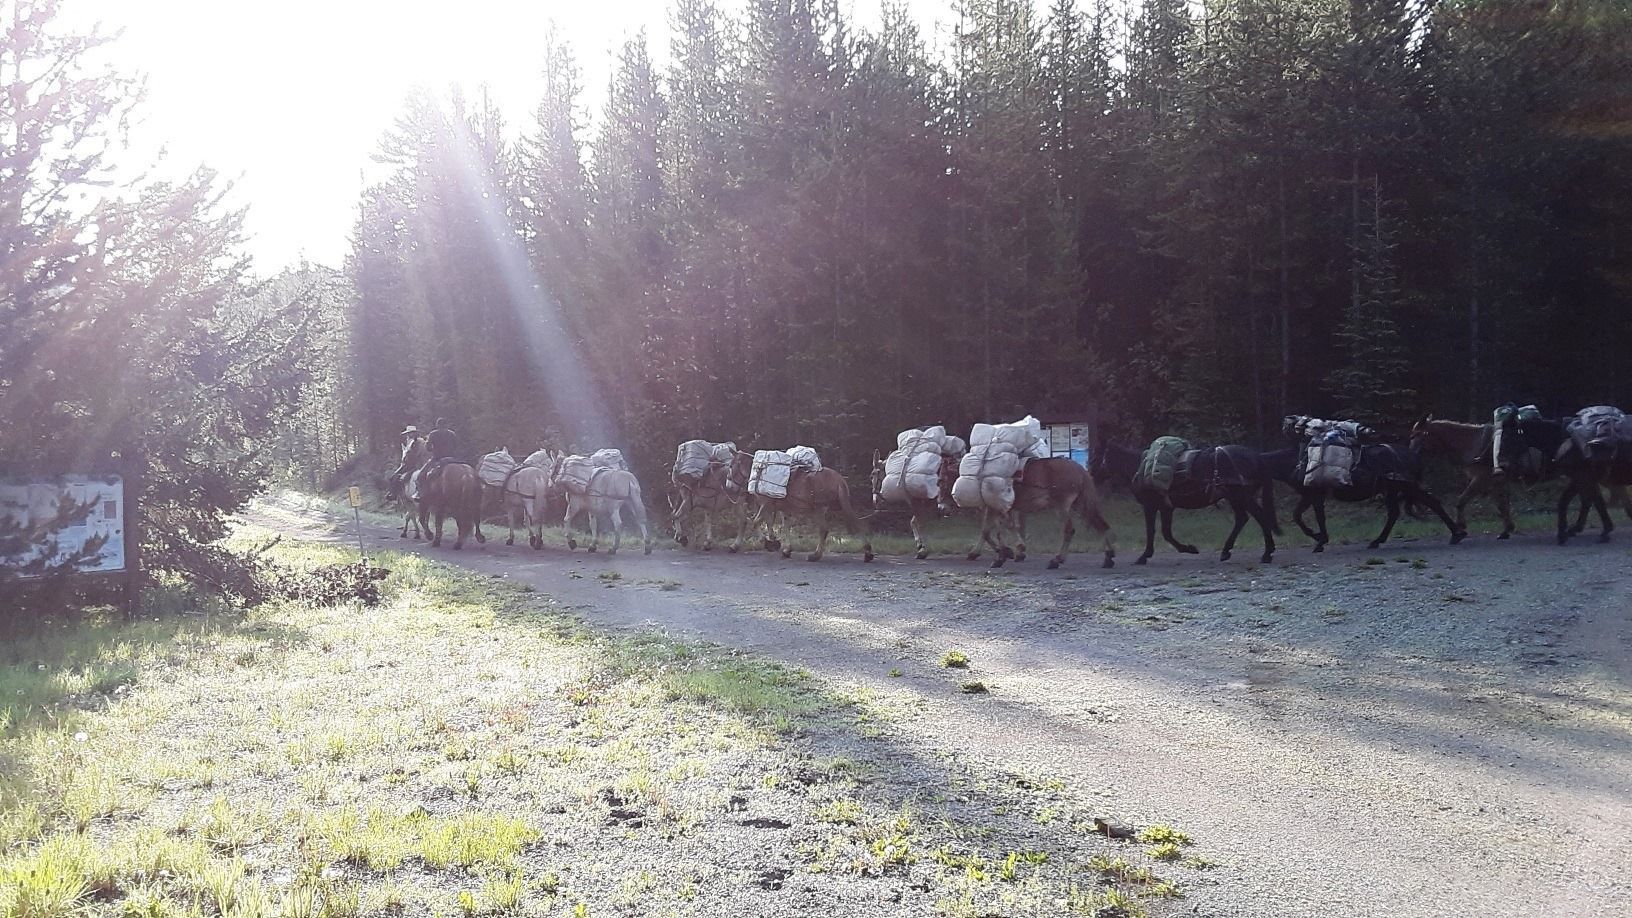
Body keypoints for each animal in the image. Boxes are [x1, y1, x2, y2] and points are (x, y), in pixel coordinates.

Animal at [729, 453, 874, 562]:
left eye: (731, 466)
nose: (729, 487)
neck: (760, 470)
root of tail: (839, 479)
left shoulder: (766, 505)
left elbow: (756, 522)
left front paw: (768, 543)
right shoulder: (782, 509)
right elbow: (784, 526)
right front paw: (785, 549)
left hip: (819, 509)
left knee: (824, 530)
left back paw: (815, 555)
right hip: (841, 505)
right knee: (856, 523)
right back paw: (868, 553)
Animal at [966, 457, 1115, 570]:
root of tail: (1080, 470)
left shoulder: (996, 508)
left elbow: (998, 530)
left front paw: (1007, 553)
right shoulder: (999, 509)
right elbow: (988, 530)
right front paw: (994, 554)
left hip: (1061, 507)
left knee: (1069, 530)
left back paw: (1056, 560)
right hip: (1080, 504)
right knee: (1099, 525)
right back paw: (1108, 557)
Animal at [1091, 442, 1279, 564]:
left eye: (1103, 458)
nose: (1093, 476)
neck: (1141, 468)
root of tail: (1256, 456)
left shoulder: (1152, 506)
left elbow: (1155, 532)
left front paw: (1145, 556)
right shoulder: (1166, 507)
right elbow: (1166, 532)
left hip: (1242, 496)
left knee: (1259, 517)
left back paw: (1266, 553)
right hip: (1236, 498)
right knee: (1242, 519)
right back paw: (1227, 552)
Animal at [1260, 446, 1464, 551]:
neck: (1298, 463)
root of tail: (1412, 455)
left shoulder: (1315, 495)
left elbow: (1315, 517)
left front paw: (1320, 540)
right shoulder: (1309, 496)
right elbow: (1298, 516)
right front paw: (1318, 537)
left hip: (1405, 487)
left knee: (1432, 503)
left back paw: (1457, 534)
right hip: (1394, 490)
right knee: (1395, 513)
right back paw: (1377, 541)